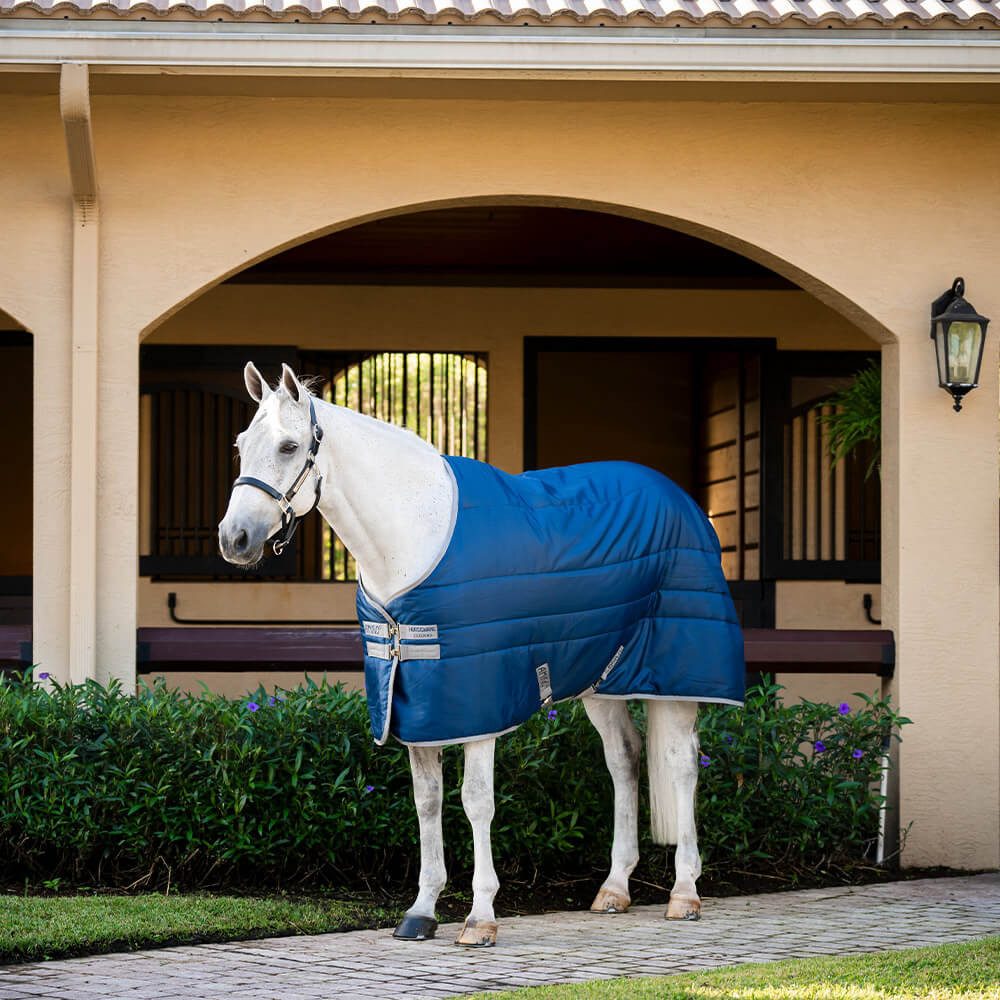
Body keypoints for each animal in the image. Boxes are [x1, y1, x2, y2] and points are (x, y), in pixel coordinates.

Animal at [218, 362, 745, 948]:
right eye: (241, 445)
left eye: (289, 446)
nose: (234, 538)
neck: (415, 535)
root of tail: (683, 500)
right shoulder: (415, 701)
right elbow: (427, 800)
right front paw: (421, 911)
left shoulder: (478, 703)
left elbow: (476, 800)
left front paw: (480, 917)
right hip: (602, 678)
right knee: (624, 759)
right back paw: (614, 889)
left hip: (675, 677)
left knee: (681, 765)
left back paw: (685, 893)